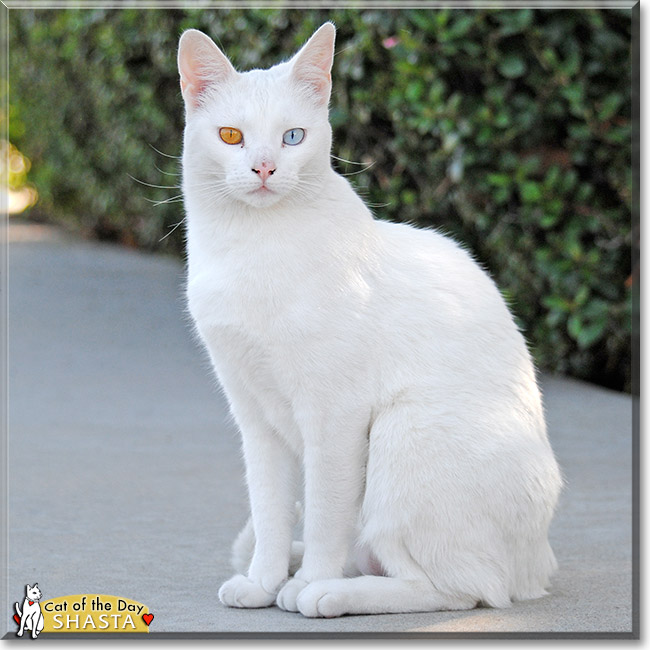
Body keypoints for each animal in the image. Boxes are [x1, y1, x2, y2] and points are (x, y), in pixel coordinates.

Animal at [177, 21, 560, 616]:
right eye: (232, 136)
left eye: (292, 137)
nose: (264, 167)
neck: (252, 248)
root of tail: (538, 565)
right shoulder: (255, 419)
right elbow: (269, 510)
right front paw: (263, 582)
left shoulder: (335, 418)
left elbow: (324, 515)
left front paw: (305, 582)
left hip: (403, 432)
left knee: (461, 591)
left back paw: (328, 592)